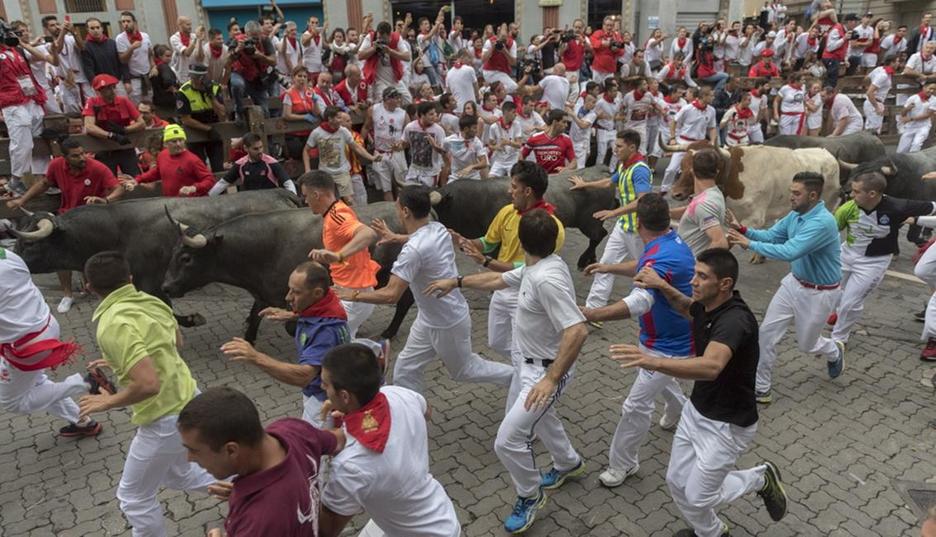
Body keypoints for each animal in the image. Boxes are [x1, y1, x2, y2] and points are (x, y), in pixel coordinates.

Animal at [10, 189, 302, 333]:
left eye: (29, 243)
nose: (11, 262)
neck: (120, 230)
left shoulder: (152, 283)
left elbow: (168, 308)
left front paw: (193, 318)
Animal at [161, 202, 415, 341]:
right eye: (172, 252)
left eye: (186, 258)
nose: (166, 287)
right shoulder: (263, 294)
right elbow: (254, 318)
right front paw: (248, 342)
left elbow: (292, 326)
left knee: (404, 302)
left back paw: (388, 331)